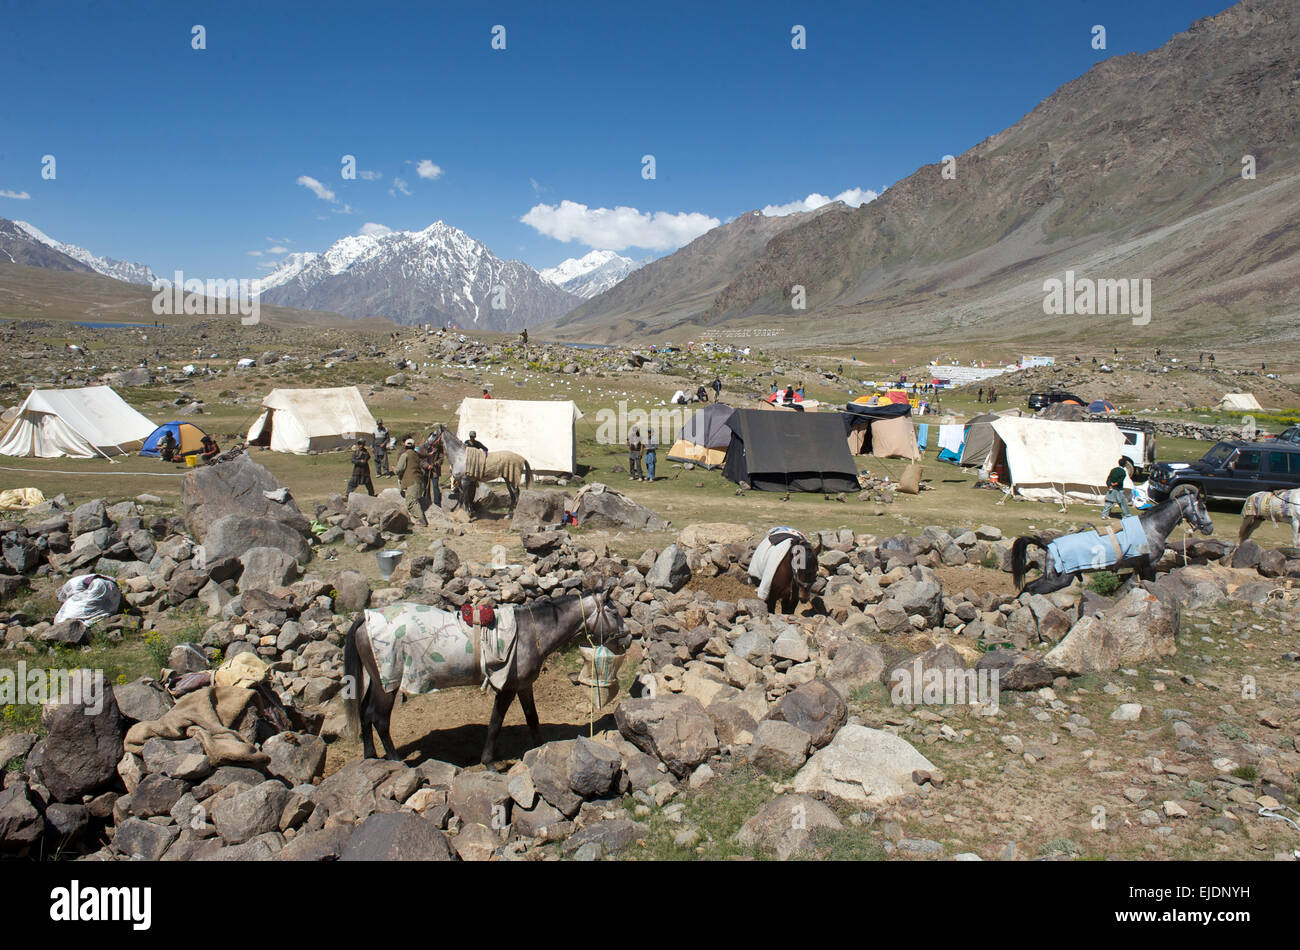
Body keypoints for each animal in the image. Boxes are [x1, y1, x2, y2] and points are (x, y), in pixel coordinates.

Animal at [343, 595, 631, 764]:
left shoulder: (523, 685)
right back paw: (395, 760)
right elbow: (495, 723)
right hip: (388, 683)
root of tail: (365, 618)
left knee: (364, 713)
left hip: (375, 679)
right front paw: (489, 761)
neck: (530, 632)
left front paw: (540, 749)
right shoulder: (506, 687)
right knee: (379, 718)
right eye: (614, 613)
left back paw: (370, 756)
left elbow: (532, 718)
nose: (628, 638)